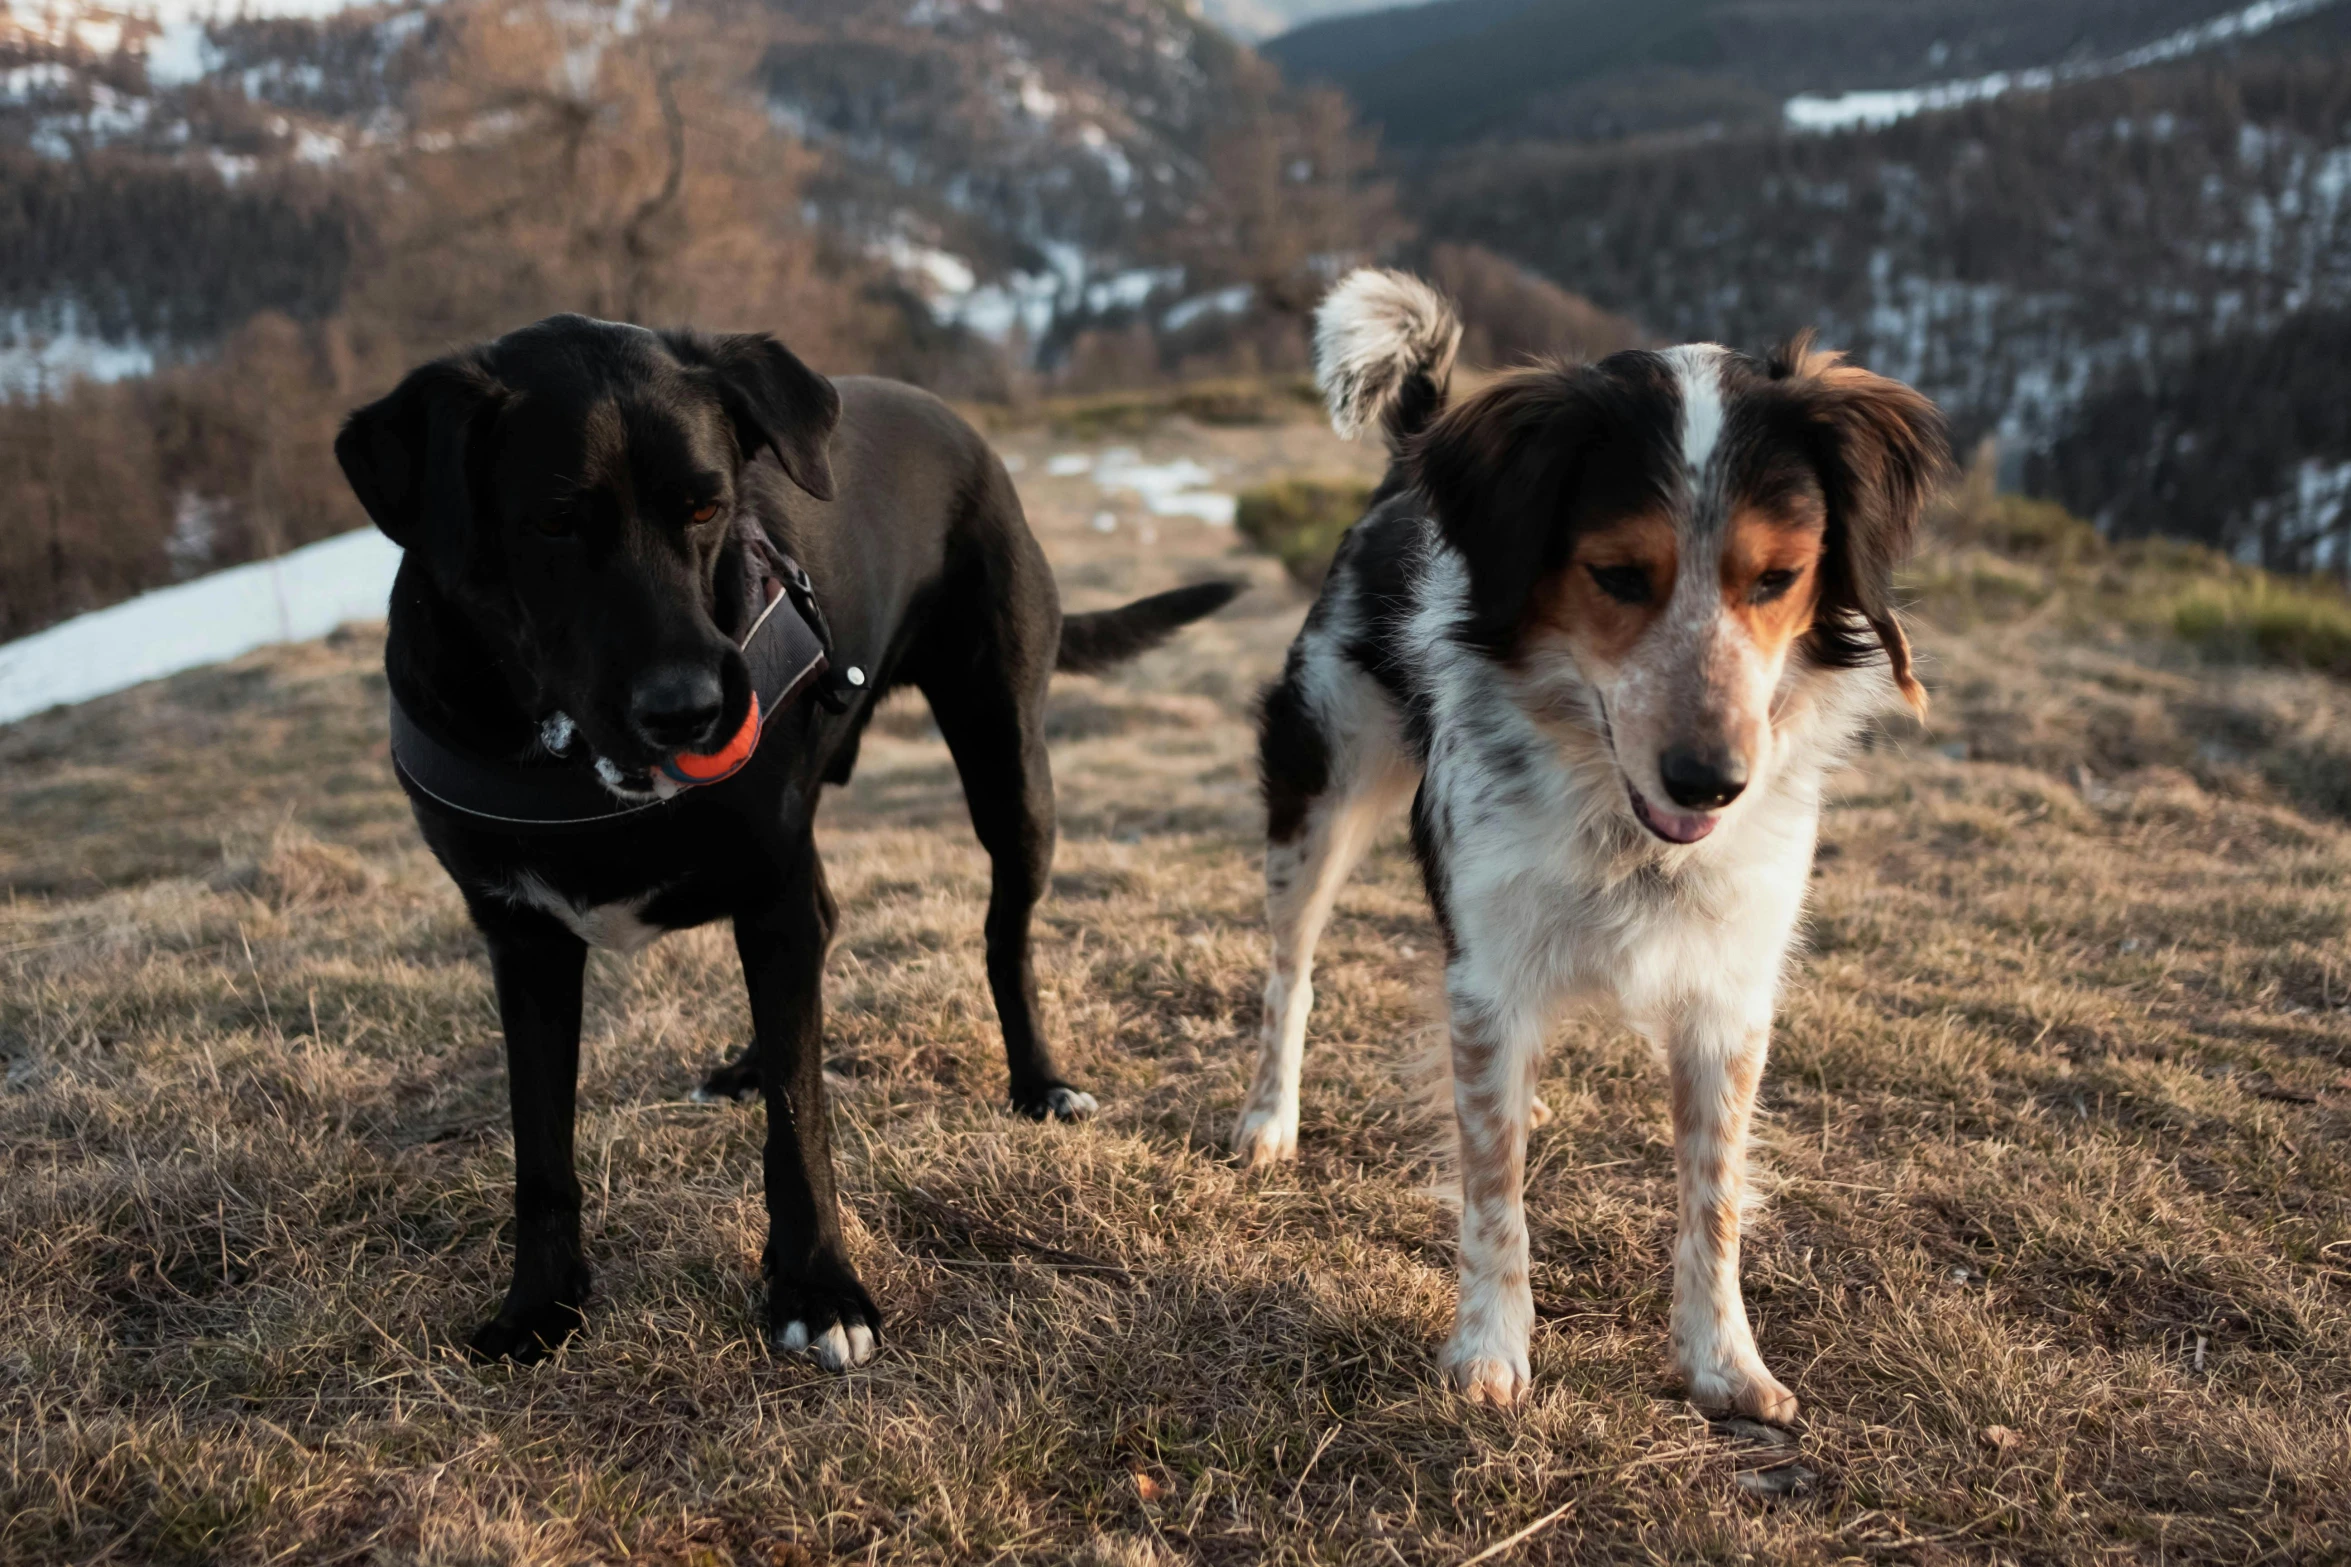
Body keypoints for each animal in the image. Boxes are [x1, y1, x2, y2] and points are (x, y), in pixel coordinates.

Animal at [338, 319, 1241, 1372]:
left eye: (707, 506)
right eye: (555, 523)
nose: (691, 710)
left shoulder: (772, 890)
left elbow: (800, 1122)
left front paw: (819, 1287)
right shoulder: (523, 938)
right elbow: (541, 1146)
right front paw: (540, 1303)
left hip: (1009, 769)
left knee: (1002, 936)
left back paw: (1038, 1081)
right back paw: (745, 1065)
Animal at [1231, 270, 1946, 1418]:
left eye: (1776, 578)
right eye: (1615, 575)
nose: (1710, 779)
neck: (1626, 826)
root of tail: (1413, 452)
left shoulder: (1729, 988)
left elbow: (1712, 1193)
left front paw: (1723, 1360)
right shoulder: (1485, 972)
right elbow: (1491, 1185)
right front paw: (1489, 1349)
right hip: (1316, 790)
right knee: (1289, 975)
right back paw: (1267, 1120)